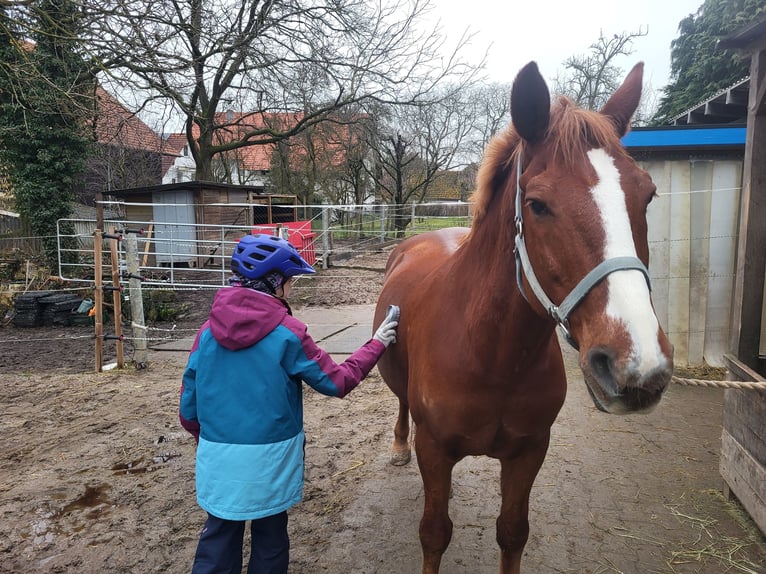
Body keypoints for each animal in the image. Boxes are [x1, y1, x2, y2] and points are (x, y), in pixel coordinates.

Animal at [372, 61, 674, 574]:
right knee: (401, 405)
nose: (637, 364)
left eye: (648, 195)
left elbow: (512, 532)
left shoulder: (530, 450)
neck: (491, 351)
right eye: (537, 204)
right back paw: (397, 446)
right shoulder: (435, 450)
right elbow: (434, 533)